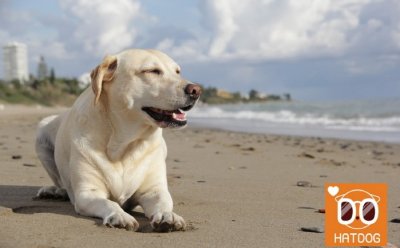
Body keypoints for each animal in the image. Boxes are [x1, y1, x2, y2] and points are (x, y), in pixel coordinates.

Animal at [36, 49, 202, 232]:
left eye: (177, 71)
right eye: (152, 71)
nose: (196, 90)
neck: (124, 144)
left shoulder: (154, 190)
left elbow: (164, 202)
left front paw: (168, 216)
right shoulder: (88, 193)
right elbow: (109, 203)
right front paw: (119, 215)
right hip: (41, 130)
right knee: (61, 182)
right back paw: (55, 191)